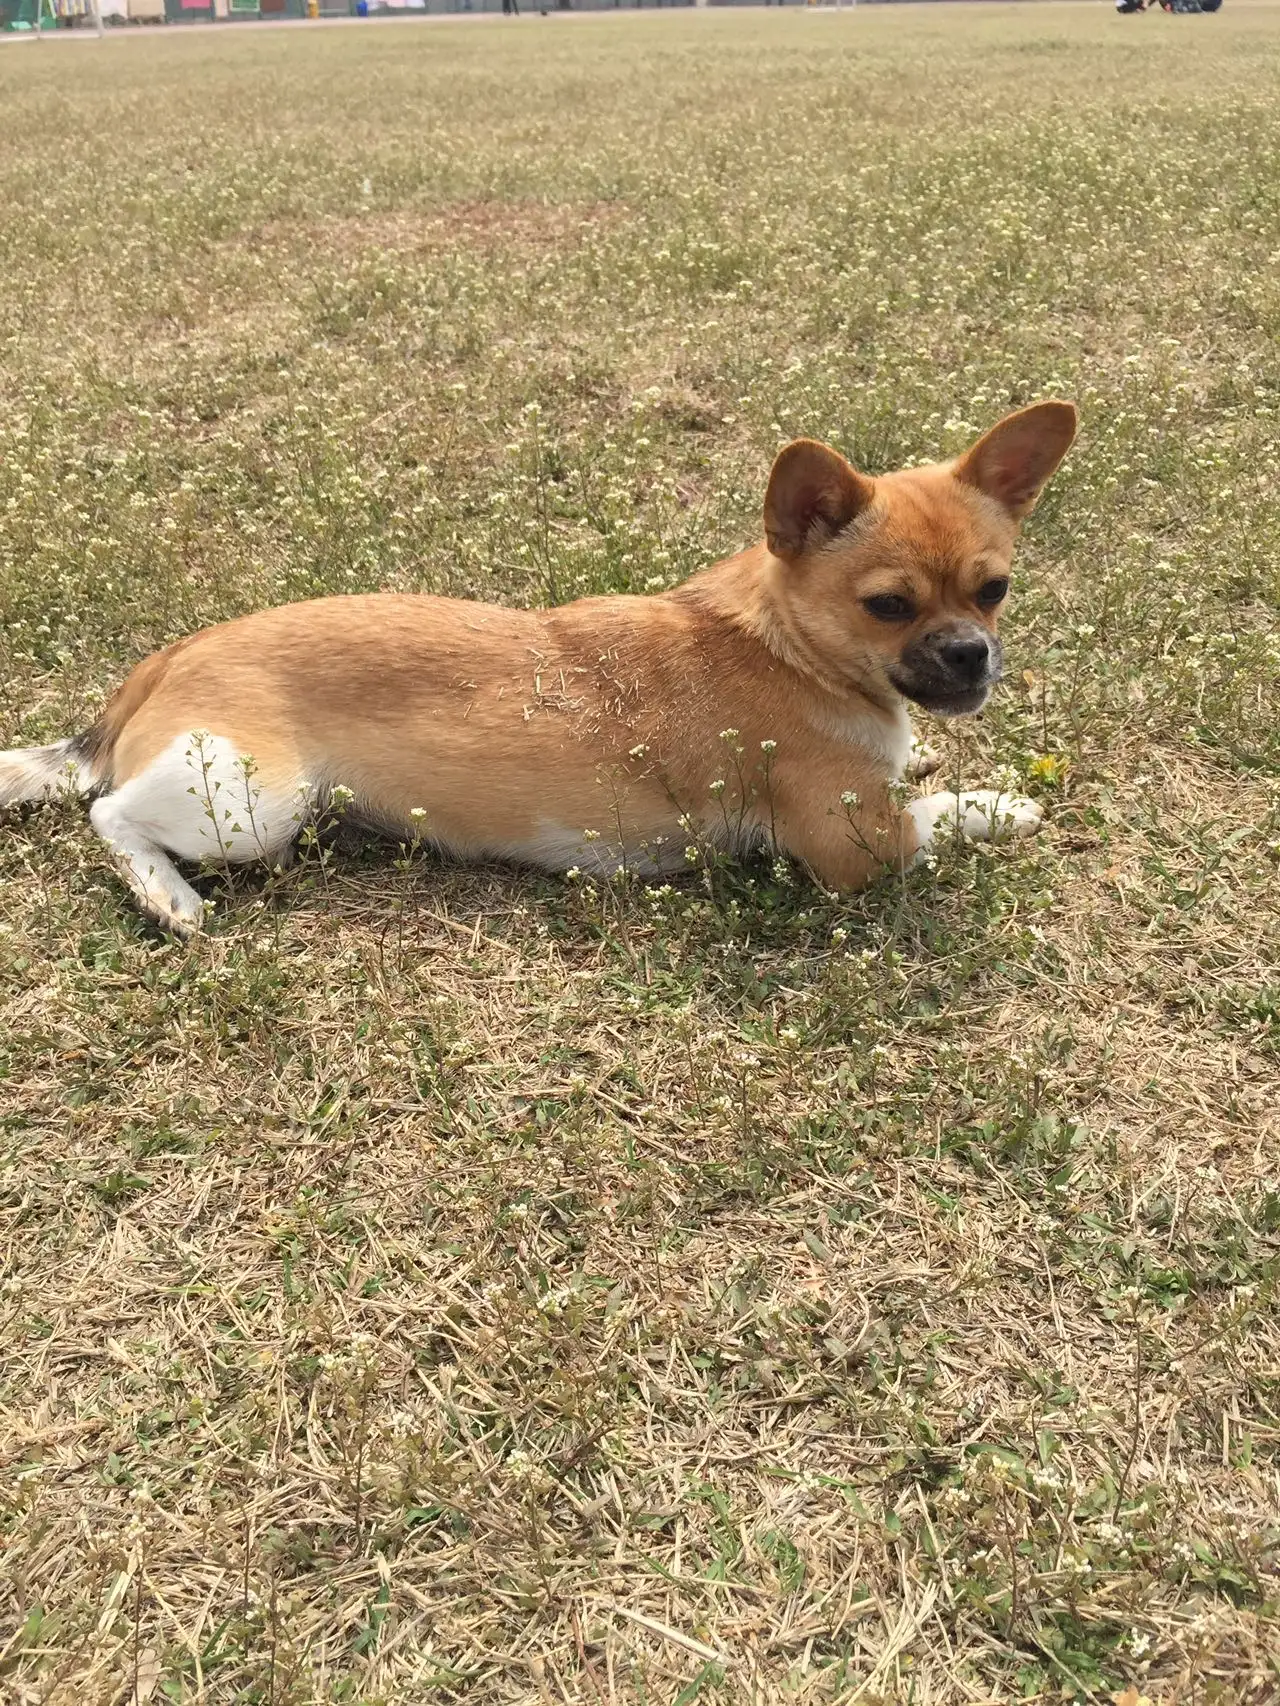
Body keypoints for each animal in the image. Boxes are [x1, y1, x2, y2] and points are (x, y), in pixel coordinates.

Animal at [0, 399, 1078, 934]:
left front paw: (924, 754)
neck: (787, 643)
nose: (970, 655)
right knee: (110, 813)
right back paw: (168, 898)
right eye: (887, 606)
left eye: (994, 589)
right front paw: (999, 803)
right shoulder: (861, 849)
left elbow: (913, 768)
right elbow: (945, 814)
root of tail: (165, 659)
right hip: (252, 803)